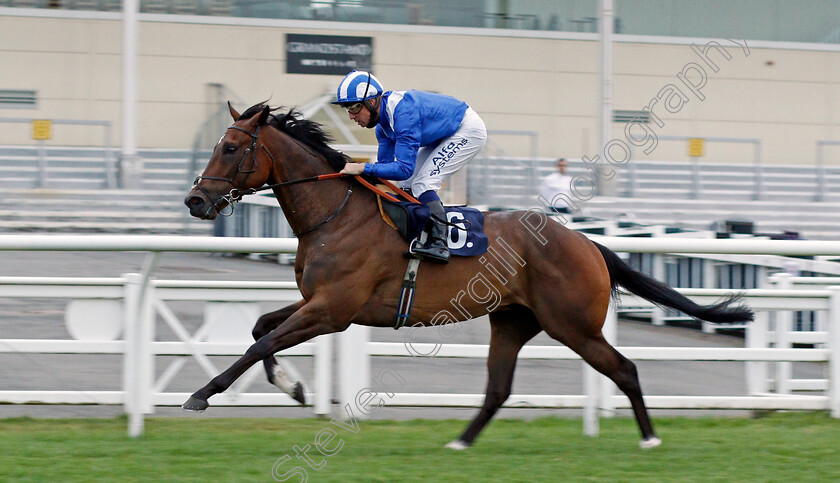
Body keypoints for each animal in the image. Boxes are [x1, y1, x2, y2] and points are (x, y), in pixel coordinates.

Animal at [184, 102, 756, 450]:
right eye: (216, 145)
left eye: (230, 148)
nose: (195, 201)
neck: (336, 214)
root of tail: (587, 242)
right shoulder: (317, 302)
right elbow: (260, 329)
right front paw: (294, 387)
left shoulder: (333, 310)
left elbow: (259, 342)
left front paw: (202, 395)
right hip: (513, 321)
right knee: (499, 388)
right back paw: (460, 441)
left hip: (573, 324)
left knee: (625, 369)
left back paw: (650, 438)